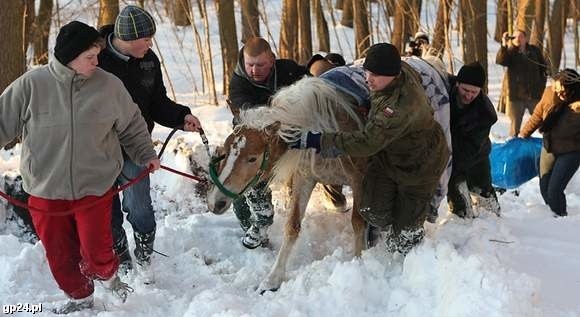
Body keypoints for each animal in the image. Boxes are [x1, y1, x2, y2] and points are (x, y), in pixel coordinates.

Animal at [206, 76, 370, 292]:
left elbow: (358, 223)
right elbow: (292, 227)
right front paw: (273, 278)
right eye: (225, 151)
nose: (215, 202)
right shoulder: (304, 178)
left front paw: (359, 263)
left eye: (252, 158)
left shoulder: (360, 179)